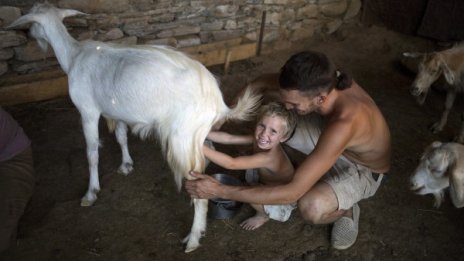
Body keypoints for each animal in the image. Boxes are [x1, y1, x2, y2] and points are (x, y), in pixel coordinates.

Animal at [7, 3, 260, 252]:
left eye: (31, 22)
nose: (28, 34)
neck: (73, 55)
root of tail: (218, 100)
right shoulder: (116, 111)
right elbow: (121, 136)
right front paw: (126, 165)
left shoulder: (88, 111)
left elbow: (92, 153)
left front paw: (91, 192)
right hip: (198, 133)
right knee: (209, 154)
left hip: (183, 139)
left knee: (200, 189)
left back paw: (193, 239)